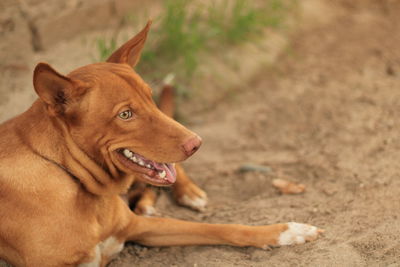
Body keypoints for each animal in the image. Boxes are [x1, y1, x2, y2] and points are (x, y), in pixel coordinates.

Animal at [0, 22, 320, 266]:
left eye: (149, 97)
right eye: (125, 114)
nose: (196, 144)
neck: (78, 184)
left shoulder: (138, 227)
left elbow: (223, 227)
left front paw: (286, 232)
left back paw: (186, 192)